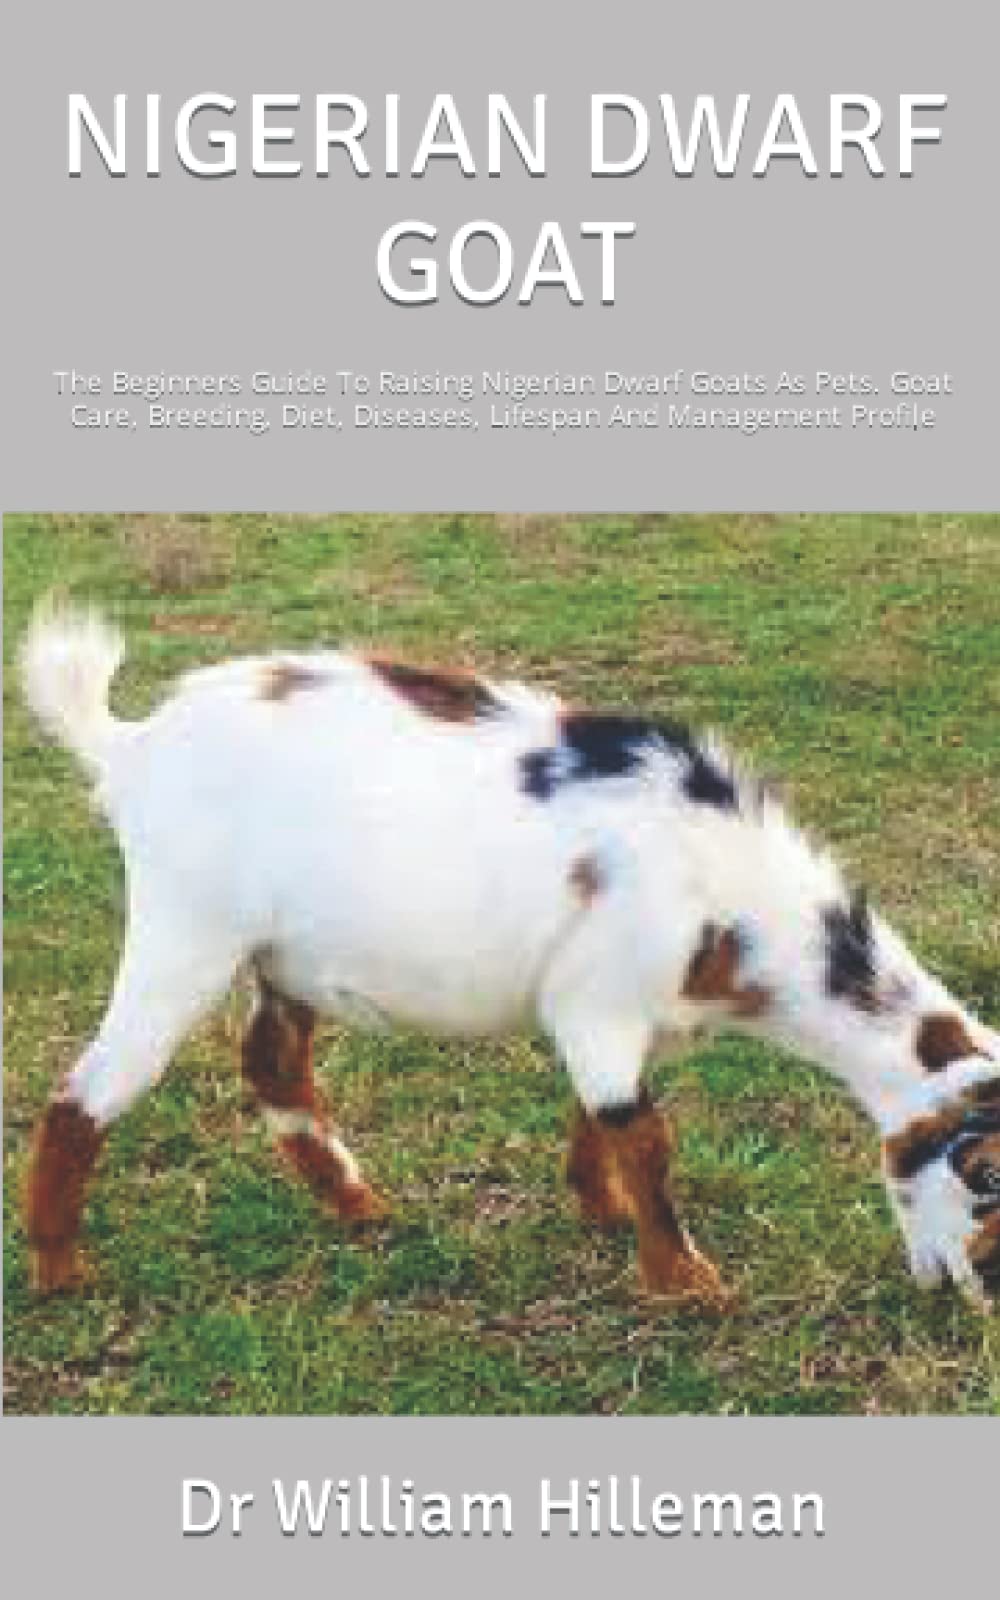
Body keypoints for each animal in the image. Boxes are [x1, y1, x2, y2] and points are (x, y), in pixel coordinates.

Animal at [19, 606, 1000, 1308]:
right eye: (983, 1171)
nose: (981, 1292)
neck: (723, 888)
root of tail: (133, 745)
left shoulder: (613, 1016)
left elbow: (604, 1118)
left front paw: (600, 1213)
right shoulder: (603, 1005)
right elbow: (646, 1139)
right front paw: (688, 1284)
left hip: (282, 956)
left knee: (273, 1063)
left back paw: (358, 1208)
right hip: (186, 929)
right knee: (90, 1088)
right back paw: (60, 1274)